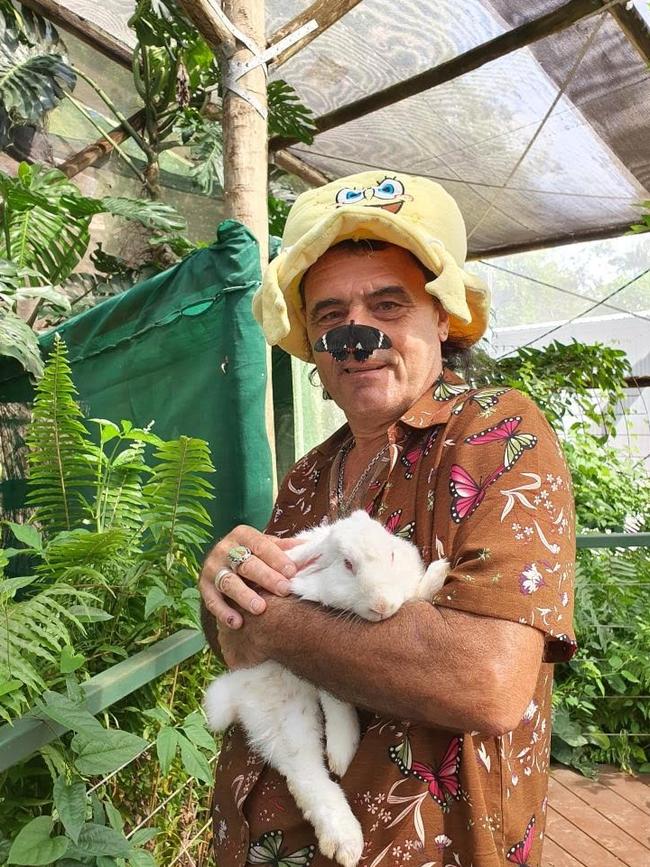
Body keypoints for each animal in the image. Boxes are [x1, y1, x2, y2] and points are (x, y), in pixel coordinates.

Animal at [202, 508, 446, 867]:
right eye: (347, 564)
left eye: (391, 554)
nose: (382, 605)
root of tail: (235, 697)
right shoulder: (316, 662)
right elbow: (335, 698)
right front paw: (343, 750)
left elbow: (415, 592)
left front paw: (439, 575)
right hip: (284, 716)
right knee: (307, 776)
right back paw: (345, 842)